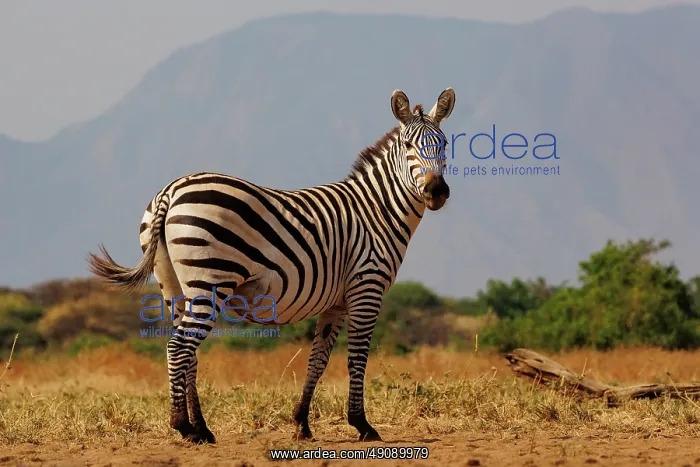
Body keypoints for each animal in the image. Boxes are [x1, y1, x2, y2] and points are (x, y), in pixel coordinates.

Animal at [86, 87, 456, 444]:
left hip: (173, 286)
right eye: (408, 145)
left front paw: (302, 424)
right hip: (210, 280)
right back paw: (183, 427)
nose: (437, 191)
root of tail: (171, 191)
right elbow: (357, 357)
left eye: (444, 144)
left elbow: (318, 359)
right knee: (179, 347)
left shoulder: (336, 301)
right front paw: (362, 425)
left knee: (187, 351)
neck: (377, 209)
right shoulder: (367, 287)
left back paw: (202, 429)